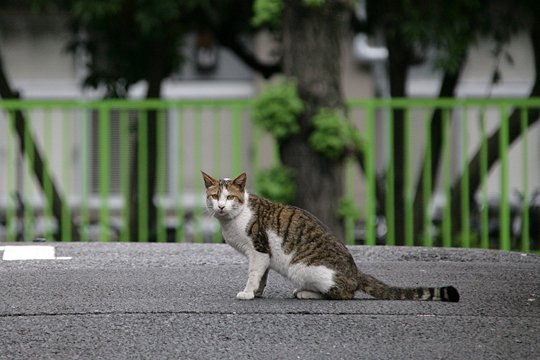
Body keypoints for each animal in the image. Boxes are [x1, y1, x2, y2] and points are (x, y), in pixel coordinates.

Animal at [200, 172, 458, 300]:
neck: (235, 218)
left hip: (301, 268)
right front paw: (259, 292)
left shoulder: (259, 250)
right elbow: (262, 276)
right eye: (214, 196)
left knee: (344, 294)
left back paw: (305, 293)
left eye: (230, 197)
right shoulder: (264, 256)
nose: (220, 206)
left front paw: (248, 293)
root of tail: (355, 272)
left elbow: (254, 274)